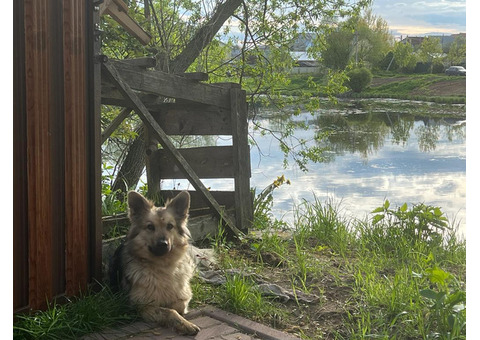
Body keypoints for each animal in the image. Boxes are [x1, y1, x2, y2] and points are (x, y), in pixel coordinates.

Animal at [110, 191, 201, 334]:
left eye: (170, 226)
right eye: (150, 227)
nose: (163, 244)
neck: (163, 266)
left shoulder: (183, 296)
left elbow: (178, 305)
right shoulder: (142, 306)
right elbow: (170, 311)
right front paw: (185, 324)